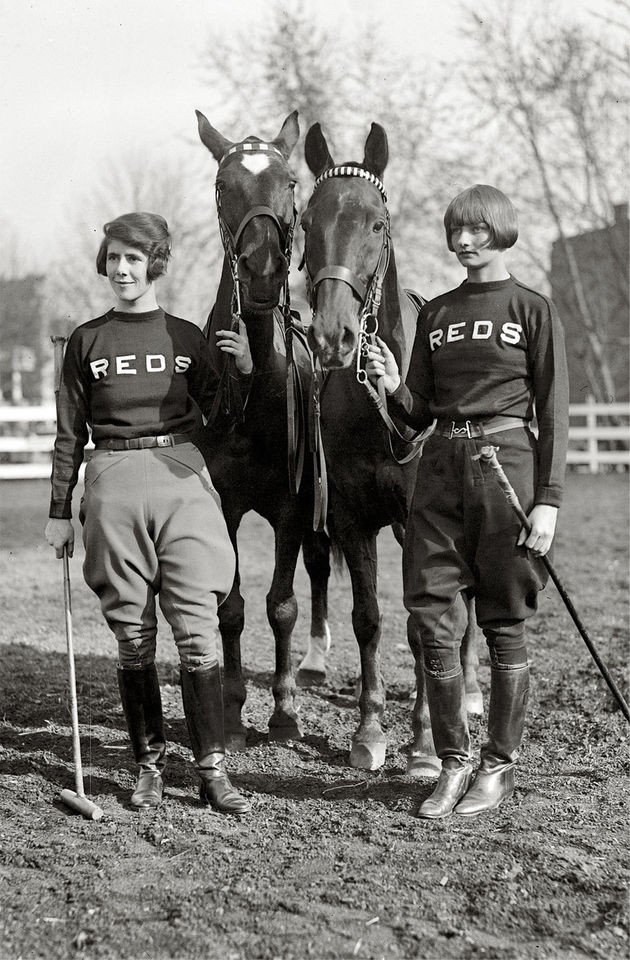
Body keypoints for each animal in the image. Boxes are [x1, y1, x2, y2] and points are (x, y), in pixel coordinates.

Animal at [304, 124, 482, 776]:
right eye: (308, 221)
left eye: (378, 223)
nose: (333, 336)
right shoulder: (352, 519)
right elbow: (370, 619)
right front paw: (371, 730)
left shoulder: (418, 522)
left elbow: (422, 625)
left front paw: (426, 743)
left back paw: (471, 690)